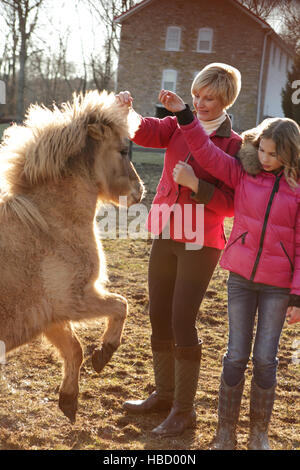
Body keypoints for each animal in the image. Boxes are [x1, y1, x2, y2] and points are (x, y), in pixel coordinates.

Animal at [0, 91, 144, 422]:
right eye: (123, 150)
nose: (139, 191)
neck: (49, 223)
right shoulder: (74, 300)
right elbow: (121, 305)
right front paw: (104, 353)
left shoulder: (51, 315)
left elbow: (74, 350)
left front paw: (68, 399)